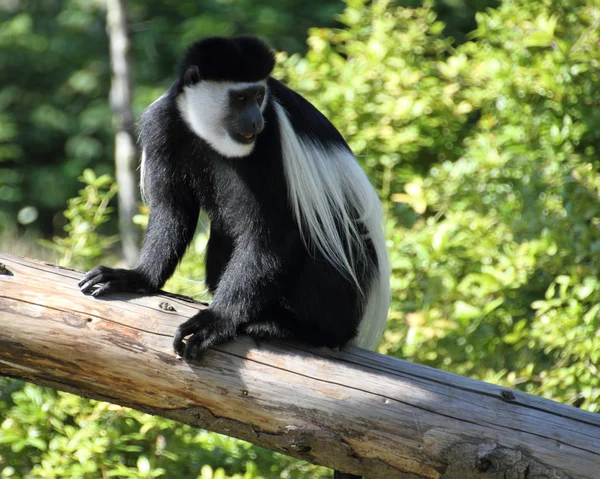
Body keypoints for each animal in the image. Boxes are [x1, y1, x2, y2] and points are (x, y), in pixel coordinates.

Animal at [79, 37, 390, 476]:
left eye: (259, 96)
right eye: (240, 97)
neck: (212, 136)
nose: (254, 122)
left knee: (321, 247)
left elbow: (273, 235)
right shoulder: (163, 124)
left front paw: (215, 321)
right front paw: (134, 277)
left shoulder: (274, 147)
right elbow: (173, 210)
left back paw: (290, 327)